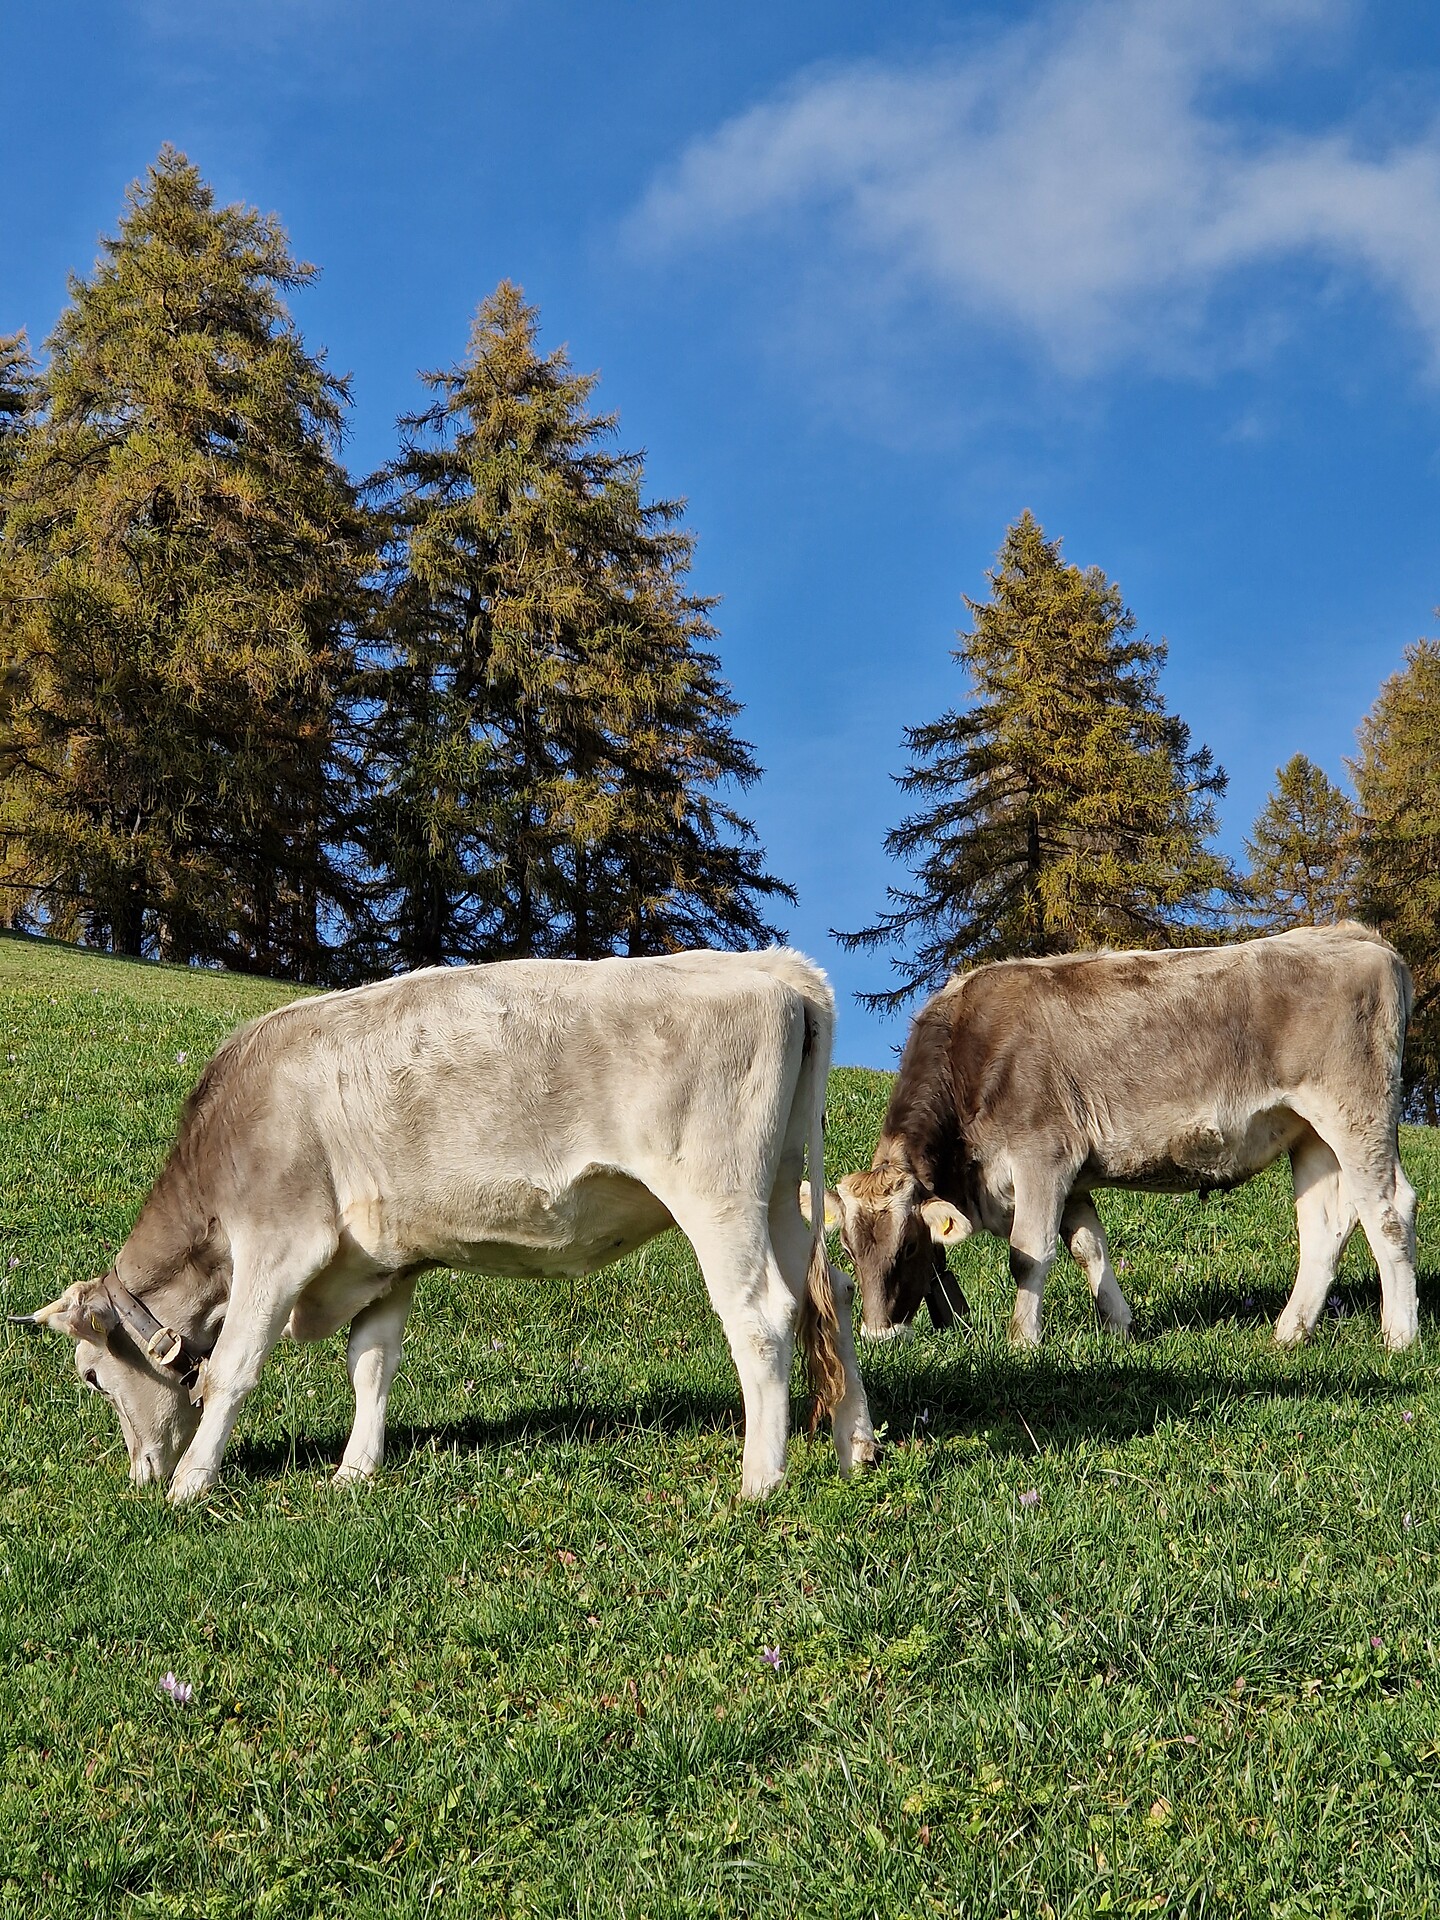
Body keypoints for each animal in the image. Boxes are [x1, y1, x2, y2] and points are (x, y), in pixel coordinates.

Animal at [10, 949, 877, 1504]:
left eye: (91, 1376)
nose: (140, 1473)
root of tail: (775, 965)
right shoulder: (384, 1261)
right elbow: (370, 1366)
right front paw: (354, 1473)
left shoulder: (281, 1243)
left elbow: (233, 1368)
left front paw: (192, 1486)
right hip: (785, 1186)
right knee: (829, 1292)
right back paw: (855, 1446)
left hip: (719, 1190)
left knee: (763, 1314)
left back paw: (760, 1481)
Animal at [811, 925, 1418, 1351]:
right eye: (847, 1249)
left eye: (910, 1246)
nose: (878, 1335)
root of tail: (1355, 934)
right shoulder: (1073, 1177)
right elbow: (1090, 1249)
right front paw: (1121, 1327)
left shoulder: (1042, 1156)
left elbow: (1029, 1254)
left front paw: (1022, 1342)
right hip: (1310, 1134)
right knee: (1326, 1223)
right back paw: (1289, 1333)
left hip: (1356, 1112)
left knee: (1389, 1211)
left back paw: (1399, 1336)